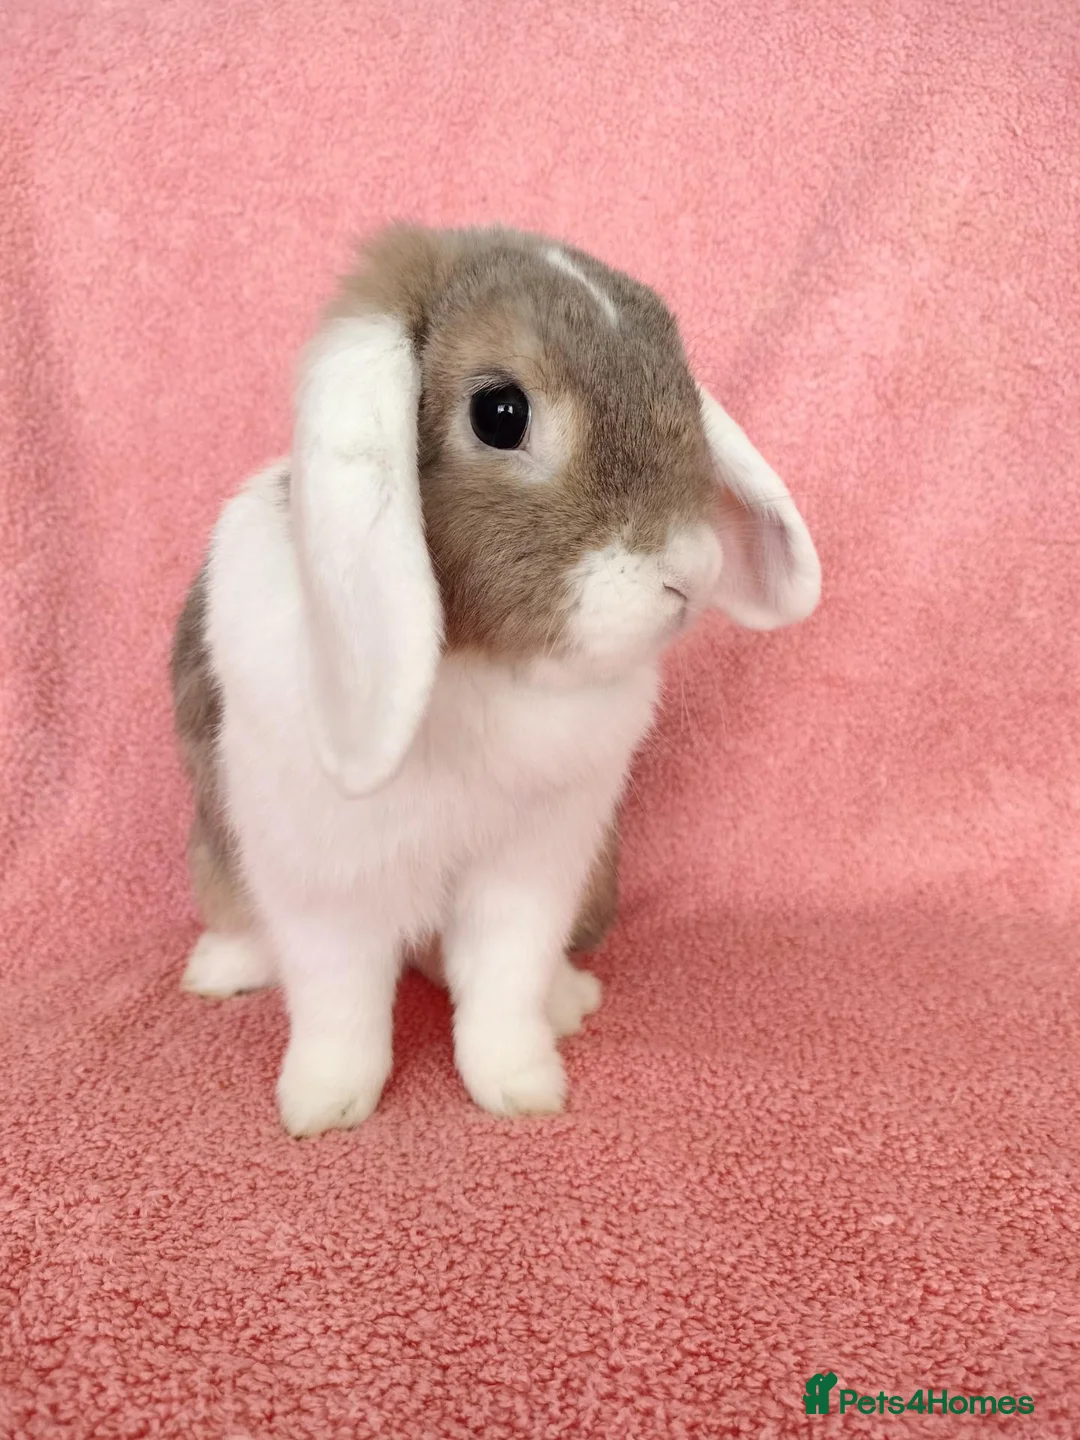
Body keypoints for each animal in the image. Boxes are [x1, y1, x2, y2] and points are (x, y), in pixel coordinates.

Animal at [170, 224, 820, 1136]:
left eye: (678, 376)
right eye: (500, 413)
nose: (690, 573)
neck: (484, 667)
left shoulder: (534, 867)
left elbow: (502, 984)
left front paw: (520, 1088)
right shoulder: (326, 876)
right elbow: (339, 1000)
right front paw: (325, 1104)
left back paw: (568, 998)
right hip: (217, 851)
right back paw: (221, 969)